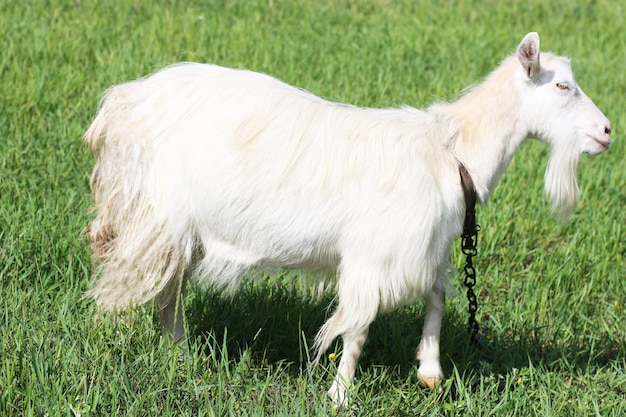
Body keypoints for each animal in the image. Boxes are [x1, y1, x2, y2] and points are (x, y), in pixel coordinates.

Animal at [84, 34, 608, 404]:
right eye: (561, 85)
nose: (606, 132)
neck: (450, 150)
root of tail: (119, 104)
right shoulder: (373, 255)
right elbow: (357, 328)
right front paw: (340, 395)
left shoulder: (419, 249)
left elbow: (436, 297)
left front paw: (429, 371)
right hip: (155, 214)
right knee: (148, 284)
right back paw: (149, 348)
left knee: (168, 291)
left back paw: (179, 353)